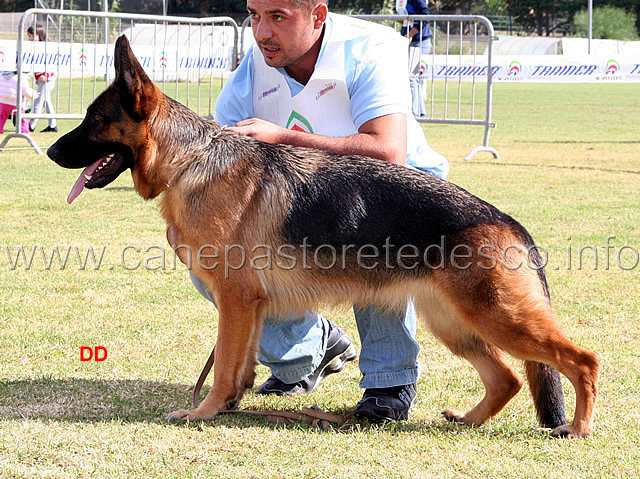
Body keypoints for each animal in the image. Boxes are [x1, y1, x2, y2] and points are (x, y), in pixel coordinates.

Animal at [48, 35, 600, 436]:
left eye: (94, 119)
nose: (50, 151)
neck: (192, 159)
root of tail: (510, 221)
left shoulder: (235, 299)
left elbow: (223, 364)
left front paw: (204, 412)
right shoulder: (248, 304)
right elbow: (240, 365)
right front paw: (230, 405)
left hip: (499, 318)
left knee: (583, 360)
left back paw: (577, 428)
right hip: (457, 323)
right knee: (506, 378)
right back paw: (467, 421)